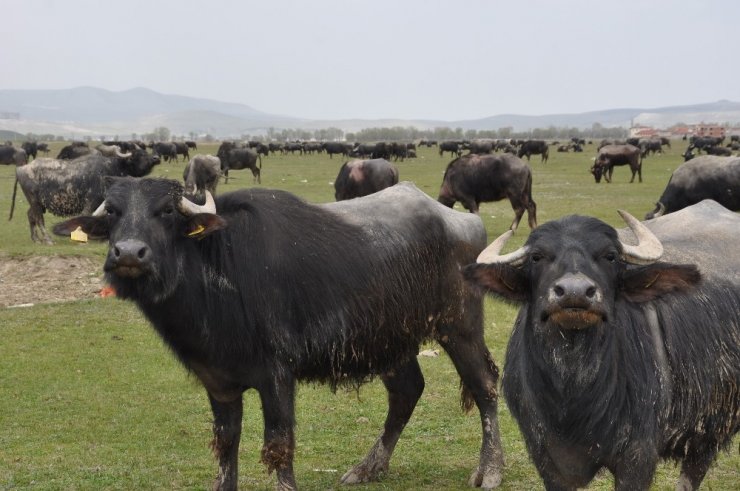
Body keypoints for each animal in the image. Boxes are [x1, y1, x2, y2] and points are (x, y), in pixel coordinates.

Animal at [9, 148, 160, 244]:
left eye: (146, 152)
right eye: (138, 155)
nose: (156, 158)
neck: (111, 169)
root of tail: (21, 168)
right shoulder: (90, 202)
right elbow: (86, 218)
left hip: (36, 203)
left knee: (30, 215)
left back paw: (36, 239)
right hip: (35, 202)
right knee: (39, 219)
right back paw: (47, 240)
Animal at [50, 179, 502, 491]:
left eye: (165, 211)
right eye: (112, 212)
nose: (128, 253)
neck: (219, 270)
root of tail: (463, 221)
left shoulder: (277, 375)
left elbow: (279, 445)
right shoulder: (219, 383)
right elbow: (226, 444)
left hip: (460, 325)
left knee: (484, 385)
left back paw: (491, 470)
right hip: (389, 340)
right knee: (407, 391)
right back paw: (368, 467)